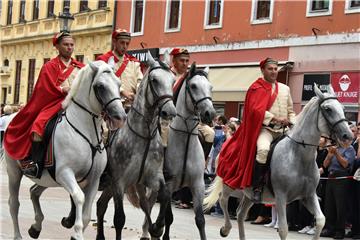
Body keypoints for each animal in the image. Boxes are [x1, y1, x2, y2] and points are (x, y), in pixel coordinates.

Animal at [204, 84, 352, 240]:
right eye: (328, 109)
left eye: (342, 108)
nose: (347, 136)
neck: (298, 156)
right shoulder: (281, 196)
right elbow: (283, 229)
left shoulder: (309, 196)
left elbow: (320, 220)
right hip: (230, 184)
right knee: (222, 199)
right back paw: (225, 229)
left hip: (248, 194)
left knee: (240, 214)